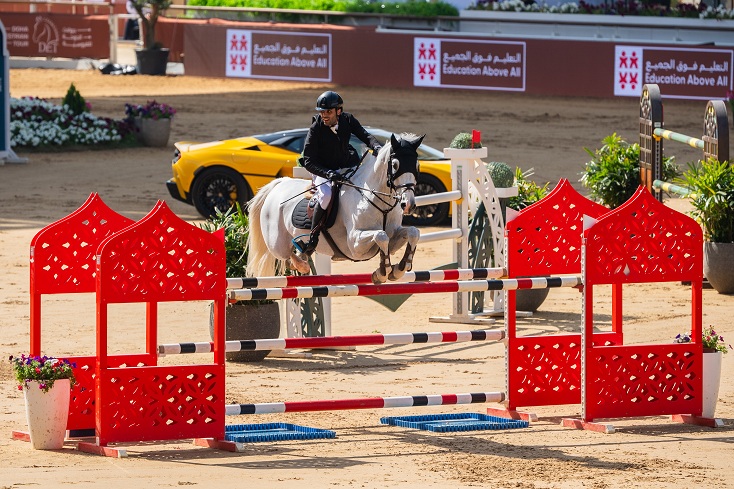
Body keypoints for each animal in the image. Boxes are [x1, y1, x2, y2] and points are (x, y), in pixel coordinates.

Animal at [246, 133, 424, 284]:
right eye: (395, 165)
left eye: (417, 165)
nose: (408, 204)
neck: (377, 200)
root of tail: (279, 184)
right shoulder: (355, 245)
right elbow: (381, 236)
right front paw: (383, 272)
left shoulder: (393, 237)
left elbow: (413, 232)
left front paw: (400, 268)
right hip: (276, 244)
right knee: (285, 255)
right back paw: (302, 263)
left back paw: (303, 256)